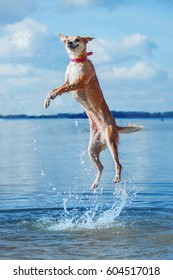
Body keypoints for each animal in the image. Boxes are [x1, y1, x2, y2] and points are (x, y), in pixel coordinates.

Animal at [43, 34, 142, 189]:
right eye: (68, 39)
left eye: (77, 39)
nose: (69, 42)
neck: (77, 62)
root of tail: (116, 126)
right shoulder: (67, 82)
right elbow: (55, 88)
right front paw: (47, 99)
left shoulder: (76, 83)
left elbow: (60, 90)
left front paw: (52, 96)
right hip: (92, 150)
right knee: (101, 167)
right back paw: (95, 183)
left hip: (111, 142)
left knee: (119, 164)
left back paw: (116, 177)